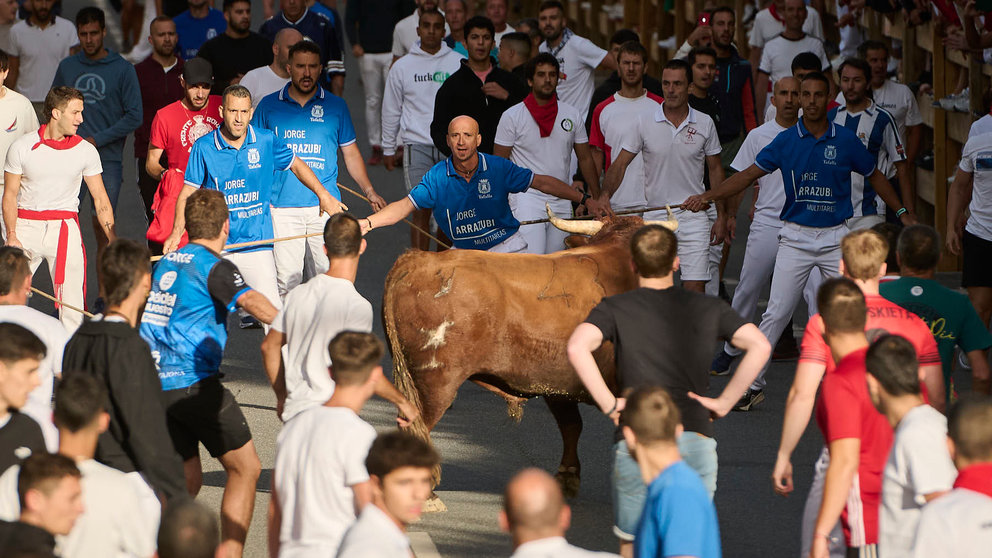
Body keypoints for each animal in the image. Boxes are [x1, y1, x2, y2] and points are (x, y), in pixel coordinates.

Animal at [380, 205, 676, 508]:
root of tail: (418, 260)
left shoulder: (559, 383)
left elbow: (572, 426)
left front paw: (567, 476)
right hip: (434, 382)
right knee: (417, 426)